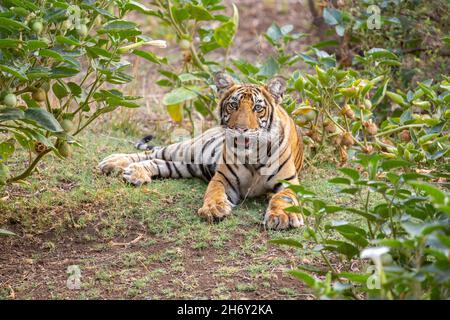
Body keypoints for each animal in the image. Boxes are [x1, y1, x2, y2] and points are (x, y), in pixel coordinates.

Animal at [97, 72, 302, 229]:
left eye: (257, 108)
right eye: (233, 105)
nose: (241, 129)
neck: (254, 154)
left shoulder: (290, 183)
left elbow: (284, 198)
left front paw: (282, 216)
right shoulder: (223, 178)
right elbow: (214, 191)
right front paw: (214, 208)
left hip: (186, 166)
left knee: (158, 161)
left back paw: (135, 173)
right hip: (188, 149)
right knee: (153, 153)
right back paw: (113, 163)